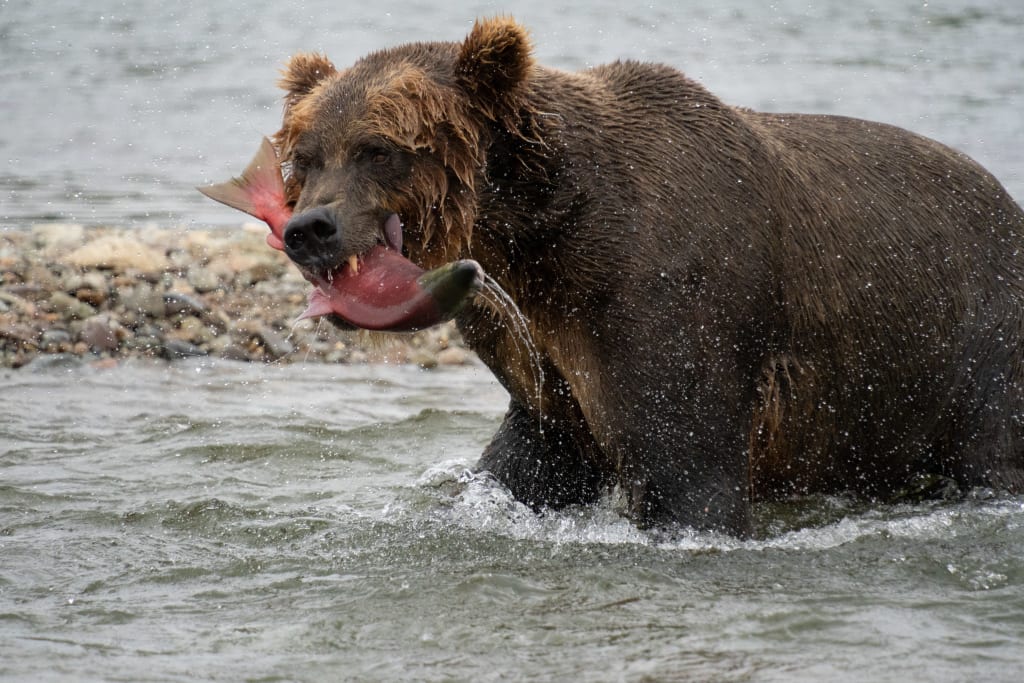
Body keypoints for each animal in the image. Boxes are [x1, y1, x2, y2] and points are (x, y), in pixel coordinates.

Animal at [267, 17, 1024, 536]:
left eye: (378, 148)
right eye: (305, 155)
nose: (309, 228)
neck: (536, 241)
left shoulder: (659, 294)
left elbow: (687, 469)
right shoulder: (540, 346)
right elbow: (529, 456)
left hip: (976, 344)